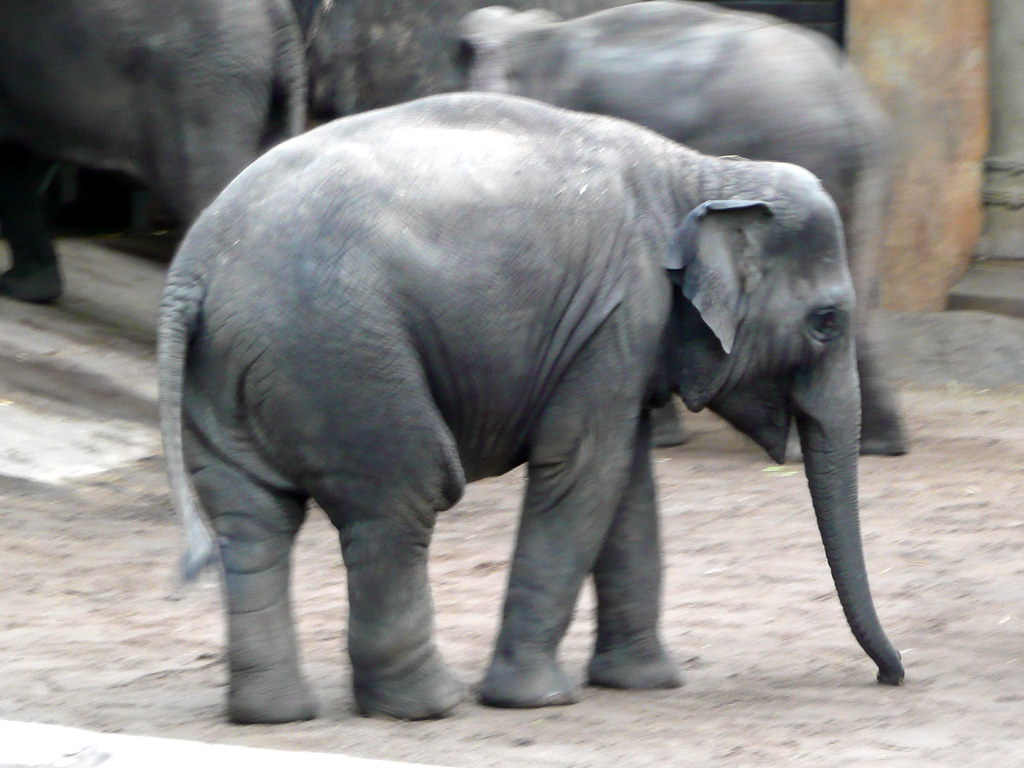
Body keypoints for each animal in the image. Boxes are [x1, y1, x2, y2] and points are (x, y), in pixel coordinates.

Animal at [159, 92, 904, 723]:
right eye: (826, 322)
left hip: (235, 373)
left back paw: (275, 714)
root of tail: (193, 267)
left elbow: (627, 488)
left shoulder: (622, 336)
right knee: (402, 498)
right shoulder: (620, 312)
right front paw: (537, 699)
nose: (891, 677)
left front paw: (645, 682)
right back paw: (429, 705)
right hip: (341, 357)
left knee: (253, 521)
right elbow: (584, 472)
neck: (705, 175)